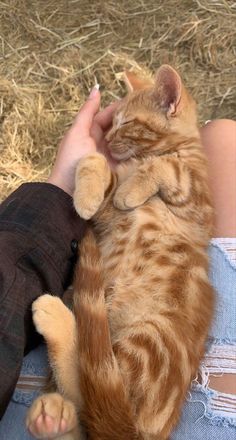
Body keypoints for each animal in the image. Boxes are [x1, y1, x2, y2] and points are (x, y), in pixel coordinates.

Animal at [26, 65, 215, 440]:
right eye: (112, 123)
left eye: (126, 123)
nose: (110, 138)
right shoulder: (108, 211)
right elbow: (94, 159)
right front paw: (86, 196)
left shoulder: (200, 205)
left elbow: (167, 168)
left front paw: (133, 190)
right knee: (89, 408)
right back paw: (53, 419)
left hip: (149, 341)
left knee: (95, 385)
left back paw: (54, 320)